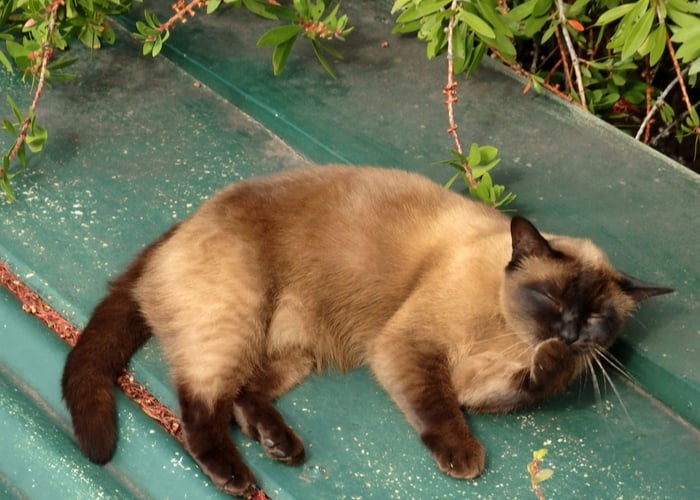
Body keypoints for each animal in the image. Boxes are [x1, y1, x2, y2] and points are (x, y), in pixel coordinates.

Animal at [61, 165, 672, 496]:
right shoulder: (412, 350)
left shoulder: (481, 382)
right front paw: (463, 458)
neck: (505, 334)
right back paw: (237, 474)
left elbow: (524, 386)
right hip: (235, 318)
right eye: (552, 298)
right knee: (201, 407)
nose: (569, 333)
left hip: (293, 349)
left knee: (243, 395)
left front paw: (551, 365)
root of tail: (182, 225)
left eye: (597, 317)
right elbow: (438, 408)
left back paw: (279, 444)